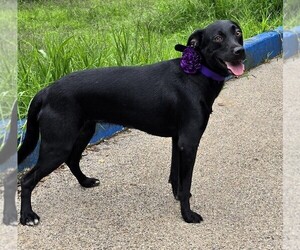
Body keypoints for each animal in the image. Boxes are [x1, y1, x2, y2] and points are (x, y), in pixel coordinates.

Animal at [17, 20, 245, 226]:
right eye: (217, 38)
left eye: (238, 33)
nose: (240, 51)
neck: (196, 74)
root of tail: (46, 90)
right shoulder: (188, 142)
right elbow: (186, 181)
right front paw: (187, 215)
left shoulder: (178, 140)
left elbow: (176, 176)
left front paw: (179, 197)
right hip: (58, 145)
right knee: (27, 180)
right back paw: (27, 216)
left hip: (83, 132)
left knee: (72, 160)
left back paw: (85, 181)